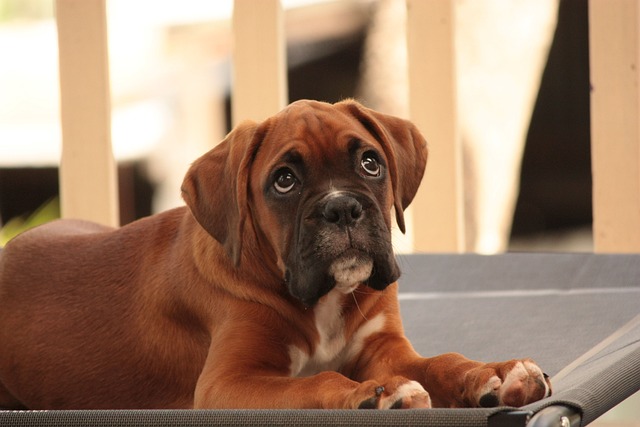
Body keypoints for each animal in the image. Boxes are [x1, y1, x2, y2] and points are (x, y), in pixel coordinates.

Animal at [0, 100, 552, 412]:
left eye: (370, 163)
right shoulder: (227, 383)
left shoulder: (384, 350)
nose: (342, 208)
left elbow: (441, 360)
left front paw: (494, 374)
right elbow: (314, 382)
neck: (323, 300)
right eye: (283, 181)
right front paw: (373, 395)